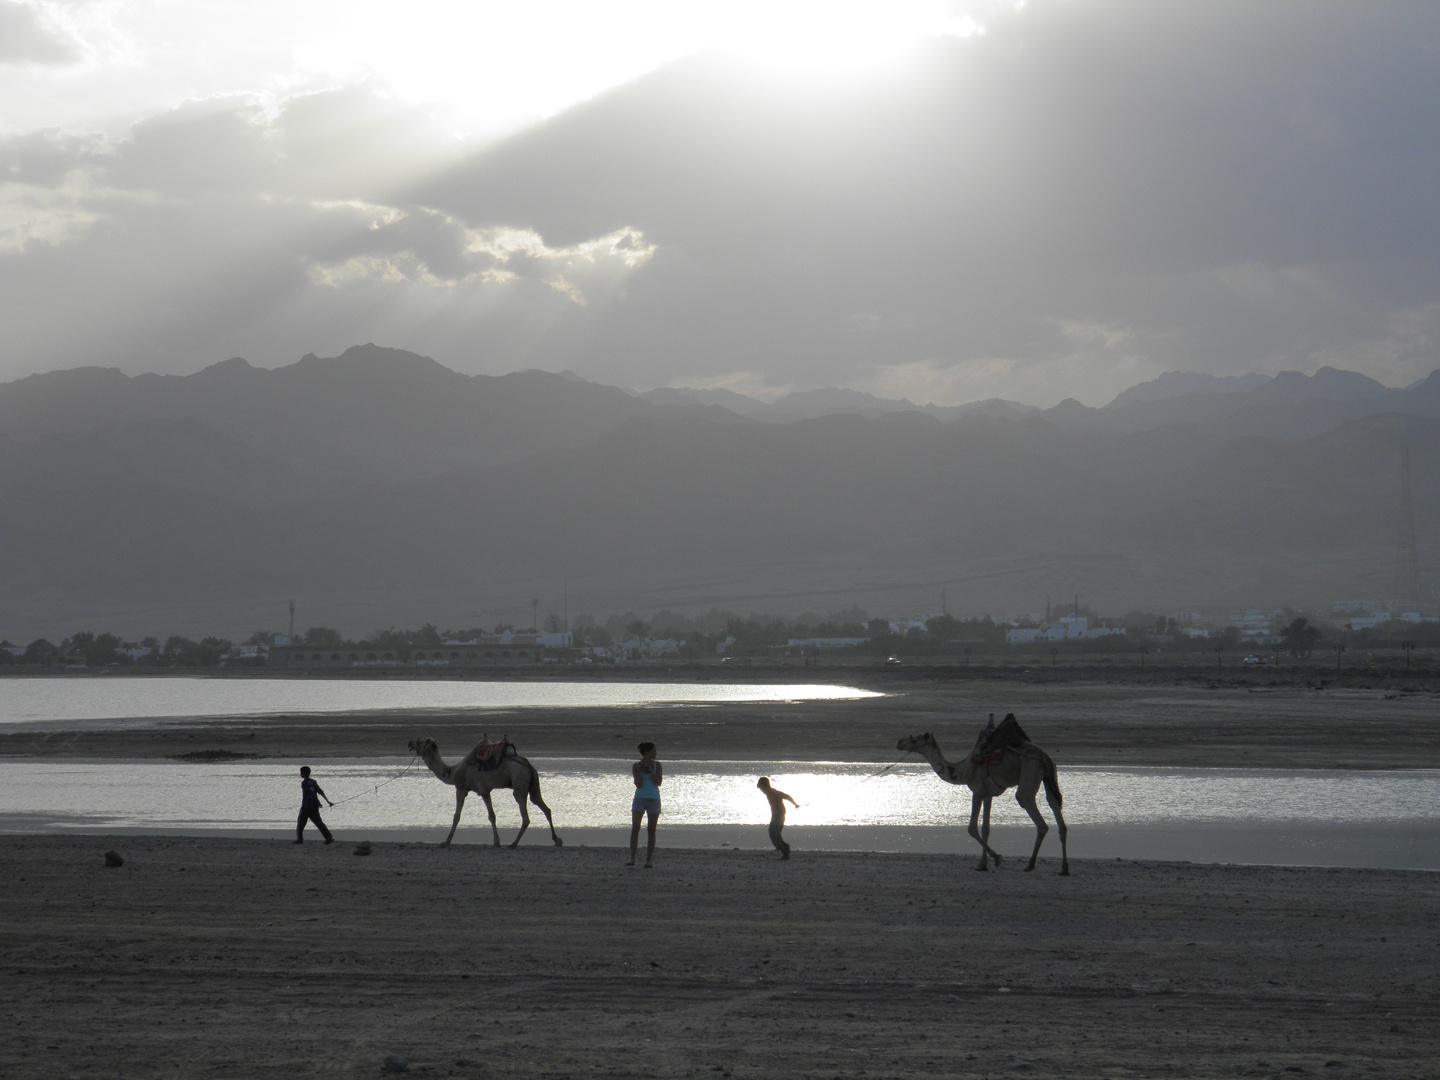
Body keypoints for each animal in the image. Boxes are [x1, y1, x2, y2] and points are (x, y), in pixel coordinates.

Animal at [411, 743, 561, 852]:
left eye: (423, 742)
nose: (410, 744)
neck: (453, 772)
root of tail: (529, 766)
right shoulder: (486, 791)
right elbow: (492, 816)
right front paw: (496, 842)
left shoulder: (463, 789)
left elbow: (457, 816)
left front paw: (446, 842)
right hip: (533, 785)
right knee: (544, 807)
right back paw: (557, 839)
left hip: (519, 783)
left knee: (525, 816)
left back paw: (513, 844)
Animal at [898, 722, 1071, 875]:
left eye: (915, 739)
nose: (899, 742)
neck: (961, 770)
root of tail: (1044, 757)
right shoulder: (988, 794)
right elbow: (986, 828)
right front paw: (983, 865)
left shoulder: (977, 791)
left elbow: (972, 828)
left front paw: (997, 858)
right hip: (1049, 777)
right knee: (1055, 808)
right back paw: (1064, 869)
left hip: (1030, 772)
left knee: (1035, 814)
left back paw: (1030, 864)